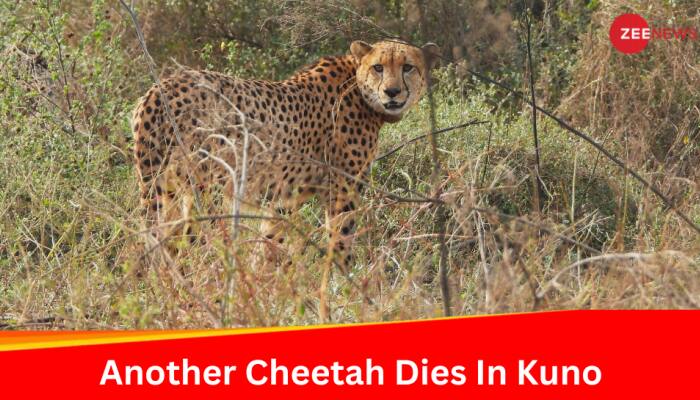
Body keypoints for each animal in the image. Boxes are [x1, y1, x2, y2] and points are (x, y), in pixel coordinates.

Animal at [132, 40, 441, 271]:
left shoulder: (284, 198)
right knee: (191, 243)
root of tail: (160, 87)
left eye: (408, 67)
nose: (392, 92)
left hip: (165, 188)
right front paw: (344, 285)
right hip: (204, 190)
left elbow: (270, 241)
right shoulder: (342, 192)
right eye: (378, 67)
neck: (358, 85)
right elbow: (340, 241)